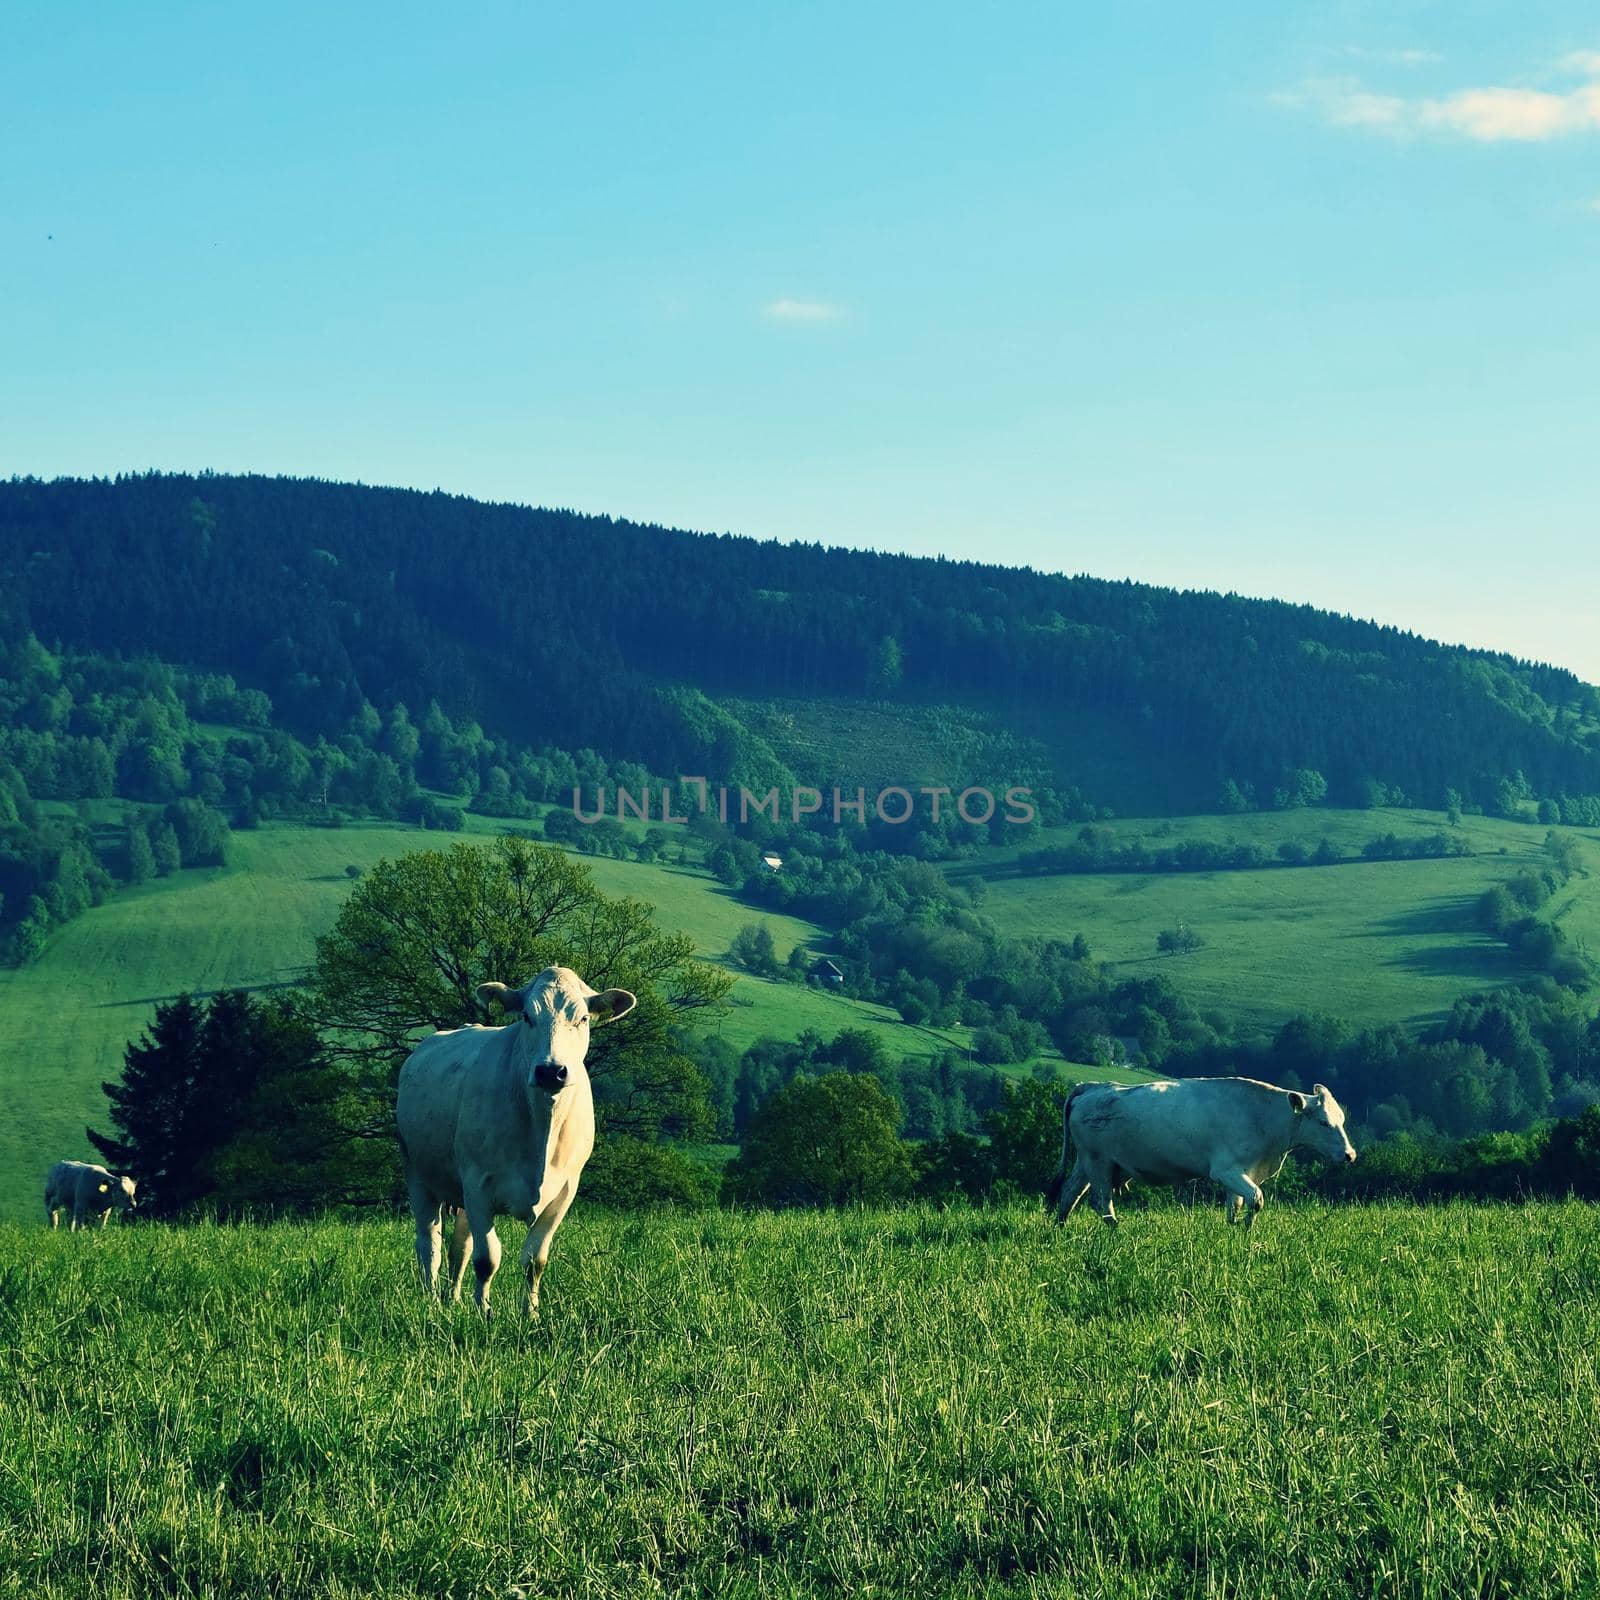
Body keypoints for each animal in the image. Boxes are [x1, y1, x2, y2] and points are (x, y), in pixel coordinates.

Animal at [392, 966, 630, 1318]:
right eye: (527, 1016)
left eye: (583, 1018)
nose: (551, 1071)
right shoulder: (477, 1184)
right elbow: (487, 1258)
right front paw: (484, 1313)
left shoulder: (564, 1192)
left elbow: (534, 1260)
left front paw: (530, 1313)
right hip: (417, 1172)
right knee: (429, 1242)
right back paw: (433, 1302)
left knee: (458, 1247)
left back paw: (454, 1299)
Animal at [1056, 1081, 1356, 1228]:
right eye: (1324, 1122)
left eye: (1342, 1120)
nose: (1350, 1155)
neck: (1261, 1116)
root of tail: (1094, 1086)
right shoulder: (1226, 1171)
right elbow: (1256, 1199)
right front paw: (1247, 1229)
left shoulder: (1242, 1172)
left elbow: (1235, 1206)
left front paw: (1235, 1232)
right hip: (1099, 1163)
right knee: (1101, 1203)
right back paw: (1116, 1231)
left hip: (1087, 1163)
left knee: (1069, 1193)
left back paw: (1060, 1231)